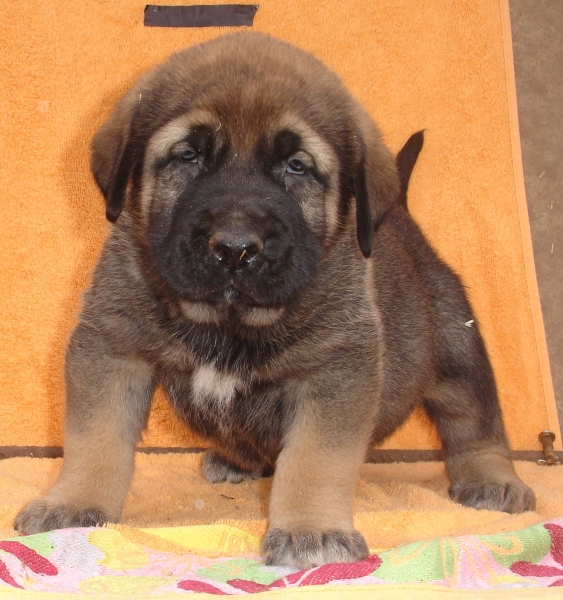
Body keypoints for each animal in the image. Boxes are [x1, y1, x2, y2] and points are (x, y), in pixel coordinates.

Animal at [14, 31, 536, 568]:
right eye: (188, 155)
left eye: (297, 166)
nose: (234, 246)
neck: (228, 321)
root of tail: (404, 219)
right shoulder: (113, 346)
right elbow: (96, 441)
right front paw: (74, 505)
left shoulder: (334, 371)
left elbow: (314, 461)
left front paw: (312, 531)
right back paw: (236, 459)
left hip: (456, 348)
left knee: (475, 422)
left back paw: (493, 479)